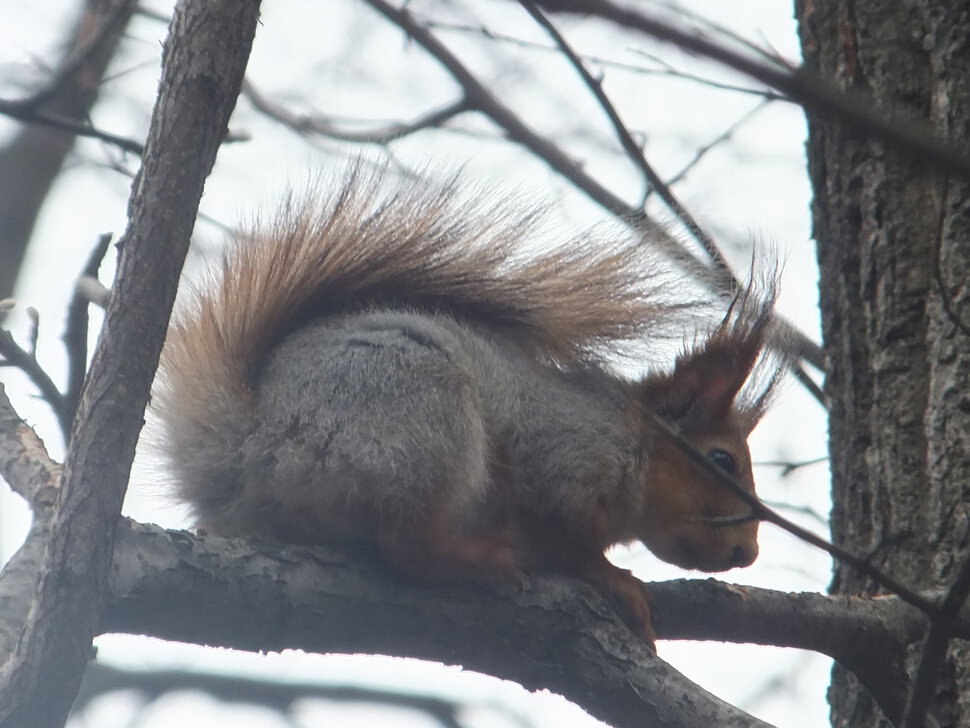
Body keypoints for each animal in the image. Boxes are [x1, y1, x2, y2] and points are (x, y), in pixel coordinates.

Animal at [155, 166, 776, 648]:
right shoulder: (564, 458)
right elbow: (569, 541)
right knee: (405, 544)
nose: (747, 554)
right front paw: (619, 582)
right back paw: (482, 559)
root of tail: (246, 447)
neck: (631, 439)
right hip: (422, 419)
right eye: (721, 460)